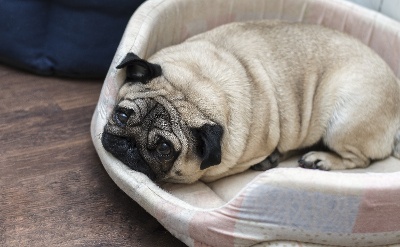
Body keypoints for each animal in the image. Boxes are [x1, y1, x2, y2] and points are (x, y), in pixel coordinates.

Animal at [101, 20, 400, 183]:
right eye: (122, 115)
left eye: (164, 148)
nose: (129, 143)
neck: (198, 83)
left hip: (344, 121)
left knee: (359, 160)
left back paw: (321, 160)